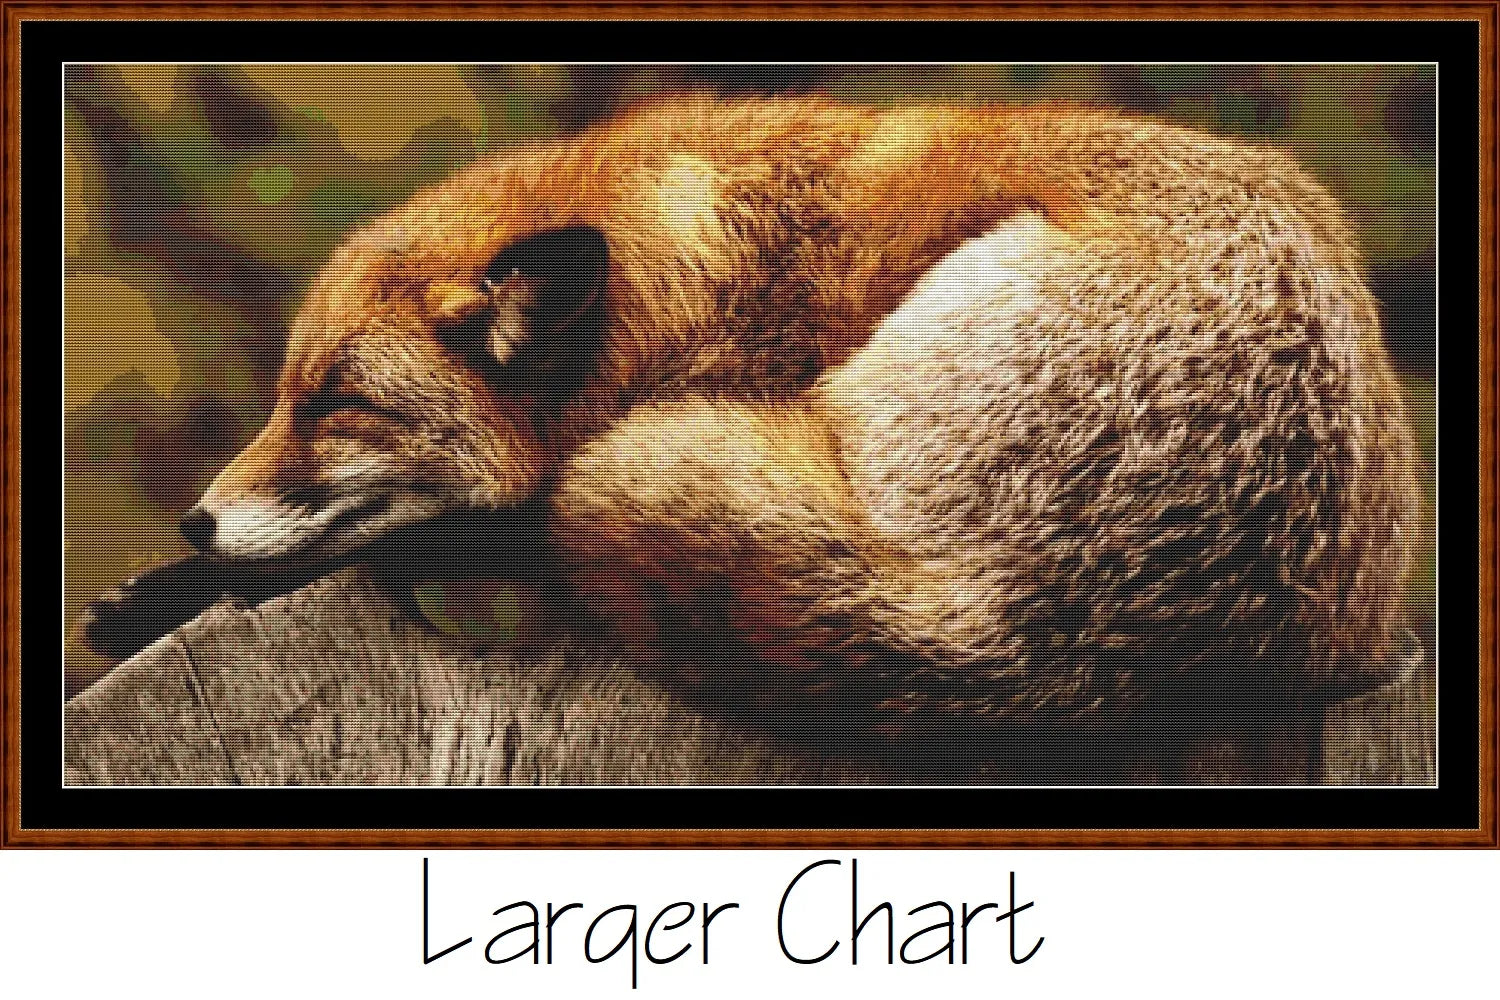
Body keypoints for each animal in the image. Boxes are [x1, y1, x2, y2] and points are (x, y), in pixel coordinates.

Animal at [81, 96, 1421, 731]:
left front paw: (173, 589)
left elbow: (475, 528)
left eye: (337, 405)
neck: (701, 278)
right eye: (284, 397)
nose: (197, 520)